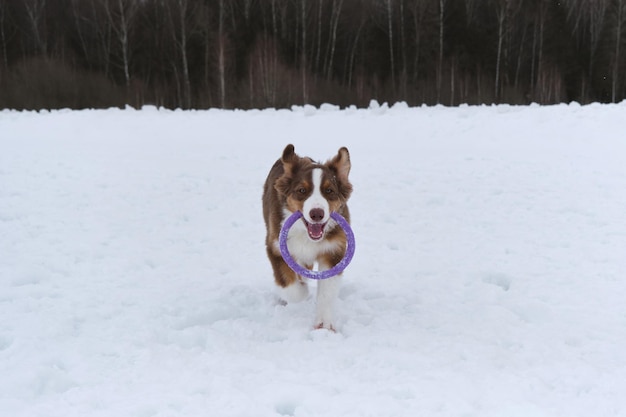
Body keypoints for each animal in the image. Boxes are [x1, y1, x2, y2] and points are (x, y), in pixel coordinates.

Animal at [262, 145, 354, 330]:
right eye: (302, 190)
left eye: (329, 191)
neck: (306, 235)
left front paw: (324, 326)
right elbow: (291, 287)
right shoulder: (276, 247)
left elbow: (327, 292)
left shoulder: (333, 251)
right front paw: (302, 291)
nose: (317, 214)